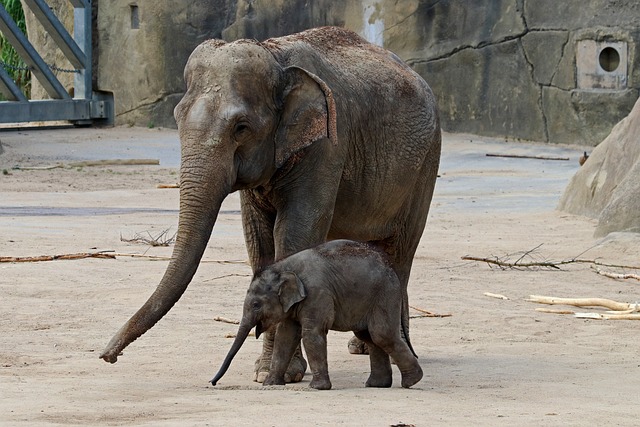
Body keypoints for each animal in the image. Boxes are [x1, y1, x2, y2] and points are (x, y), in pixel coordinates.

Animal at [210, 241, 422, 392]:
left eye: (256, 304)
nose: (212, 383)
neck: (285, 266)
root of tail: (392, 270)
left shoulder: (317, 294)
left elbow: (311, 334)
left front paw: (318, 388)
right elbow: (285, 336)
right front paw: (270, 384)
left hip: (384, 295)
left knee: (381, 334)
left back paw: (412, 381)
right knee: (369, 336)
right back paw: (377, 385)